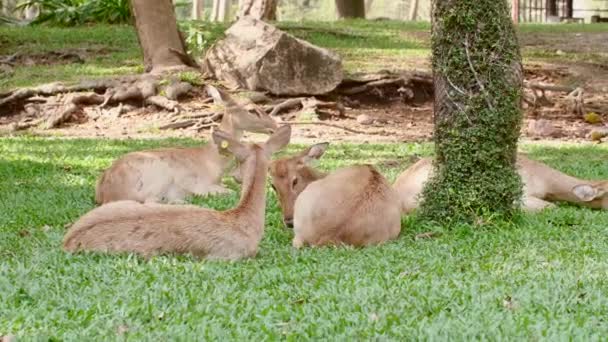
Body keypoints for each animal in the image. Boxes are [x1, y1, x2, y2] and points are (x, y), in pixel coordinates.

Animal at [95, 85, 278, 204]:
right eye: (251, 110)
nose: (274, 125)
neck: (212, 161)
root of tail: (106, 193)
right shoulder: (197, 183)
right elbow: (230, 191)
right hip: (160, 175)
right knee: (150, 201)